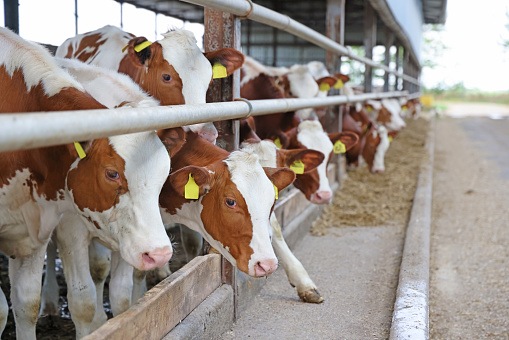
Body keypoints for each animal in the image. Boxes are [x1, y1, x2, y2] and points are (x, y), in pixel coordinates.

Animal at [0, 27, 173, 340]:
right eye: (112, 173)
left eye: (163, 174)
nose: (160, 254)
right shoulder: (69, 228)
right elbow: (81, 301)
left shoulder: (35, 228)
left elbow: (27, 303)